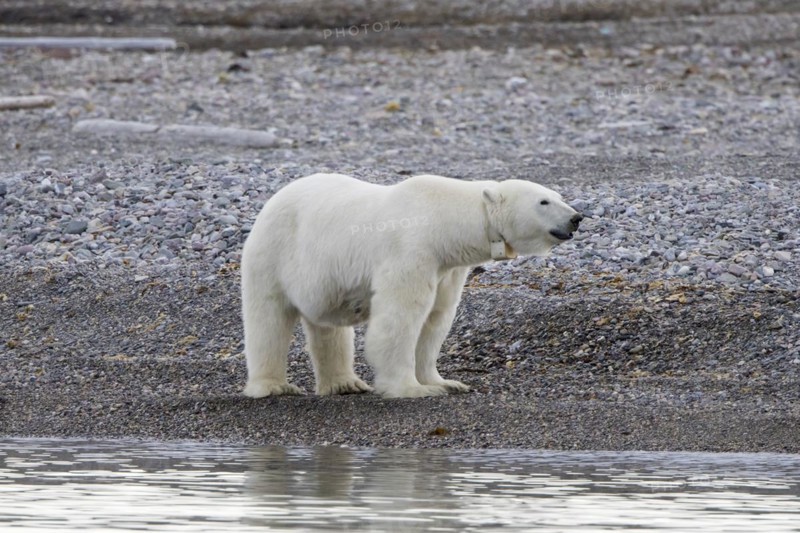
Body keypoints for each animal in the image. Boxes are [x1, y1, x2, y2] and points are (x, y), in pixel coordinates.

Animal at [241, 173, 582, 398]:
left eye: (558, 195)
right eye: (543, 201)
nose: (577, 218)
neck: (443, 220)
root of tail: (273, 200)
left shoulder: (447, 267)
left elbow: (436, 319)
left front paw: (444, 382)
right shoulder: (411, 250)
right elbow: (402, 316)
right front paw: (410, 389)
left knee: (327, 326)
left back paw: (344, 383)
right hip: (273, 253)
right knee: (268, 320)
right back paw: (274, 386)